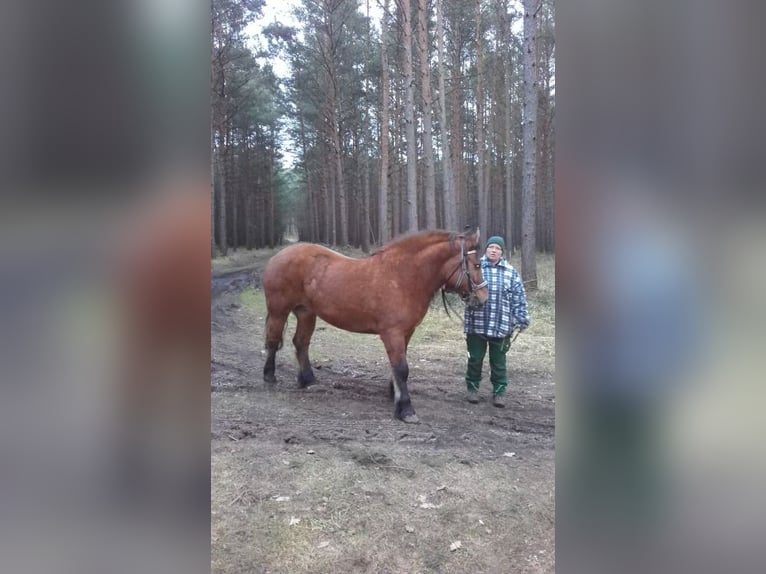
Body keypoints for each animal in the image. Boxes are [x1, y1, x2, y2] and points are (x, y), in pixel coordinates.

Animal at [264, 228, 488, 424]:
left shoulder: (406, 332)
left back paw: (308, 380)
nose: (484, 298)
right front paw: (405, 409)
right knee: (273, 341)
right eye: (477, 265)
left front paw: (394, 395)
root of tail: (279, 256)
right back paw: (269, 376)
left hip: (306, 313)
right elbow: (402, 368)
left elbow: (398, 367)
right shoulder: (392, 333)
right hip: (279, 311)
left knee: (301, 343)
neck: (403, 277)